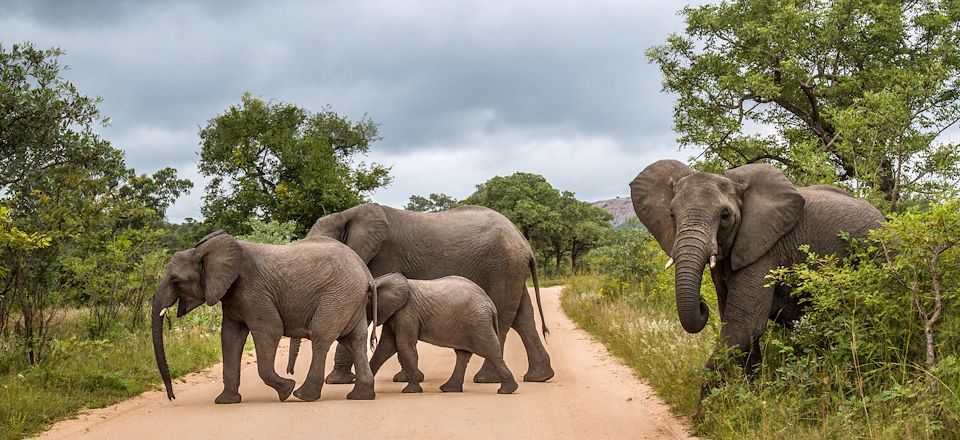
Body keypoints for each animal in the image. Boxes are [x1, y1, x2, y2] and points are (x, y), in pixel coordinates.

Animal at [151, 232, 376, 404]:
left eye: (176, 282)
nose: (172, 397)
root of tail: (366, 273)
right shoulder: (232, 296)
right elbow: (230, 337)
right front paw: (225, 402)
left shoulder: (253, 291)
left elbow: (270, 330)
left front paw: (286, 390)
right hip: (350, 300)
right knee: (355, 340)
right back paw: (360, 396)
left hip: (338, 296)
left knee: (321, 337)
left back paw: (302, 395)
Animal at [366, 274, 516, 394]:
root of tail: (491, 305)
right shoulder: (394, 313)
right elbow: (386, 347)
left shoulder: (407, 313)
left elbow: (404, 345)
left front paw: (410, 391)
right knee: (463, 354)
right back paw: (449, 389)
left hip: (478, 323)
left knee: (490, 351)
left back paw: (506, 390)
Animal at [632, 160, 884, 380]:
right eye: (671, 215)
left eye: (725, 216)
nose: (703, 305)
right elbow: (737, 328)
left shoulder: (764, 249)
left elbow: (743, 327)